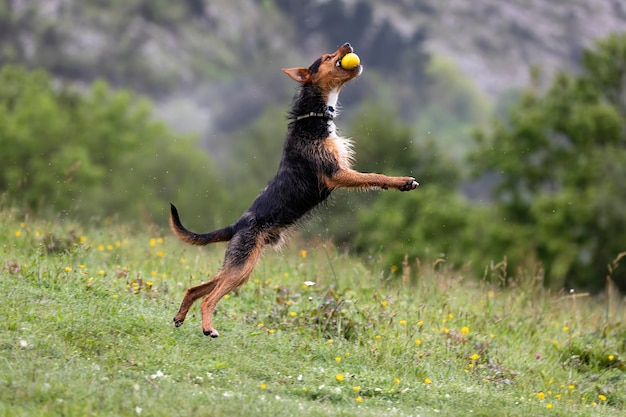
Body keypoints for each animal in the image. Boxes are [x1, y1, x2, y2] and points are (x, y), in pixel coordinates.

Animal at [168, 42, 416, 336]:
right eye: (327, 57)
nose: (348, 44)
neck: (312, 115)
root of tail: (237, 224)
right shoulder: (336, 174)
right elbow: (374, 176)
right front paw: (402, 182)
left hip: (240, 266)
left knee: (196, 288)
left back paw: (180, 316)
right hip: (241, 266)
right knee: (209, 298)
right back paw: (208, 328)